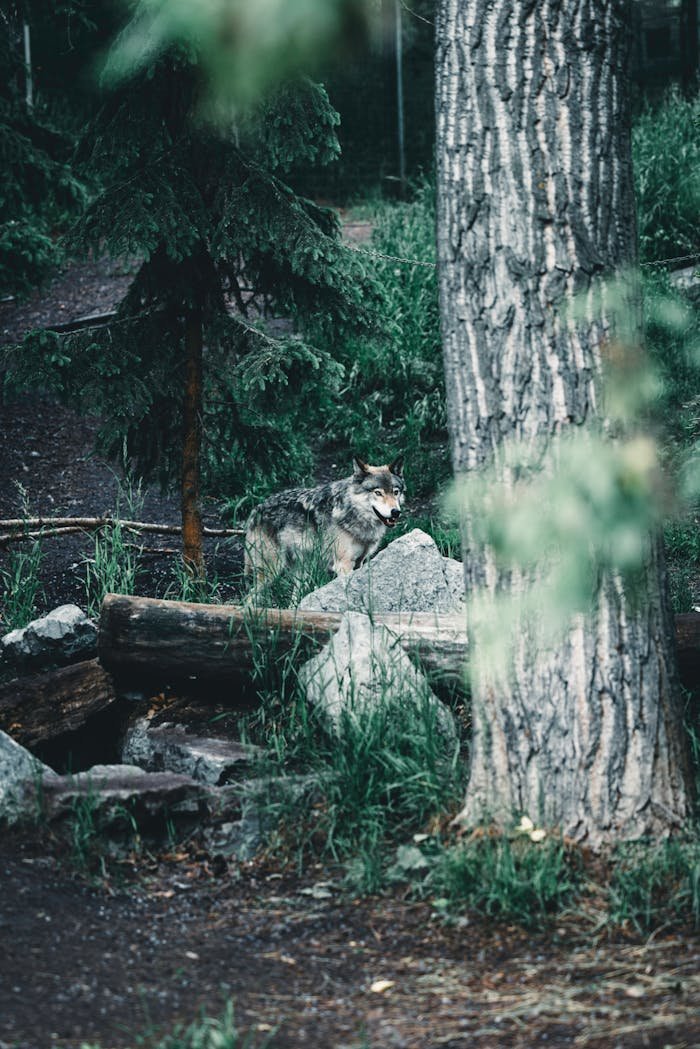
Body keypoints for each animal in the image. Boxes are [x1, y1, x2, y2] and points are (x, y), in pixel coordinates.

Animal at [244, 455, 405, 585]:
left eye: (395, 492)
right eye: (378, 493)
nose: (396, 512)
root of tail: (255, 510)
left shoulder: (360, 562)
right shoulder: (343, 565)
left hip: (302, 574)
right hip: (271, 572)